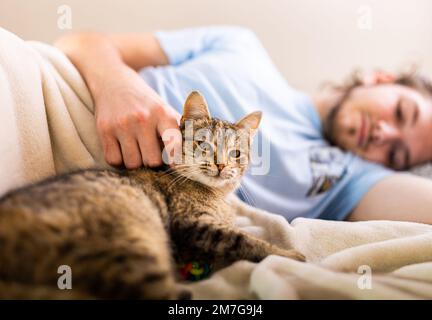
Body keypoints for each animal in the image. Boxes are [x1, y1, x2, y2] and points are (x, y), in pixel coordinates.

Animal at [0, 90, 304, 300]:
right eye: (203, 145)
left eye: (236, 153)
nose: (221, 165)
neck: (216, 196)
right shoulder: (193, 225)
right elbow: (246, 241)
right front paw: (290, 255)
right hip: (129, 250)